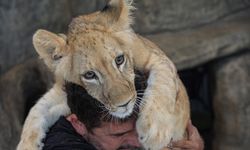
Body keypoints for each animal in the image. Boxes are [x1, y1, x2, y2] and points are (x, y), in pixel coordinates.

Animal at [17, 0, 189, 149]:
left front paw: (154, 130)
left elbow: (163, 82)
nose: (124, 104)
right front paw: (26, 146)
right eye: (89, 75)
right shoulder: (64, 90)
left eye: (119, 60)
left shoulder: (158, 58)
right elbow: (38, 109)